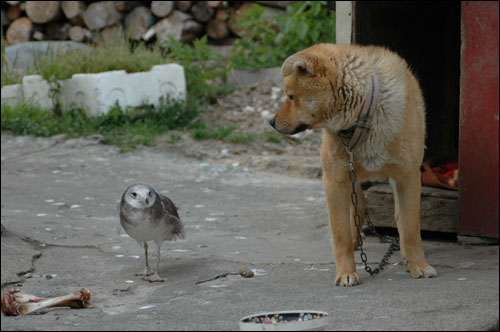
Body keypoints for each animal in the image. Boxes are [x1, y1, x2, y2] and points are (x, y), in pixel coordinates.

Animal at [270, 43, 438, 286]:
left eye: (291, 96)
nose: (271, 122)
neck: (363, 118)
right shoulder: (335, 180)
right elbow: (341, 235)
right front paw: (346, 272)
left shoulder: (408, 176)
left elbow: (411, 228)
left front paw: (419, 265)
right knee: (357, 209)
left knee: (394, 217)